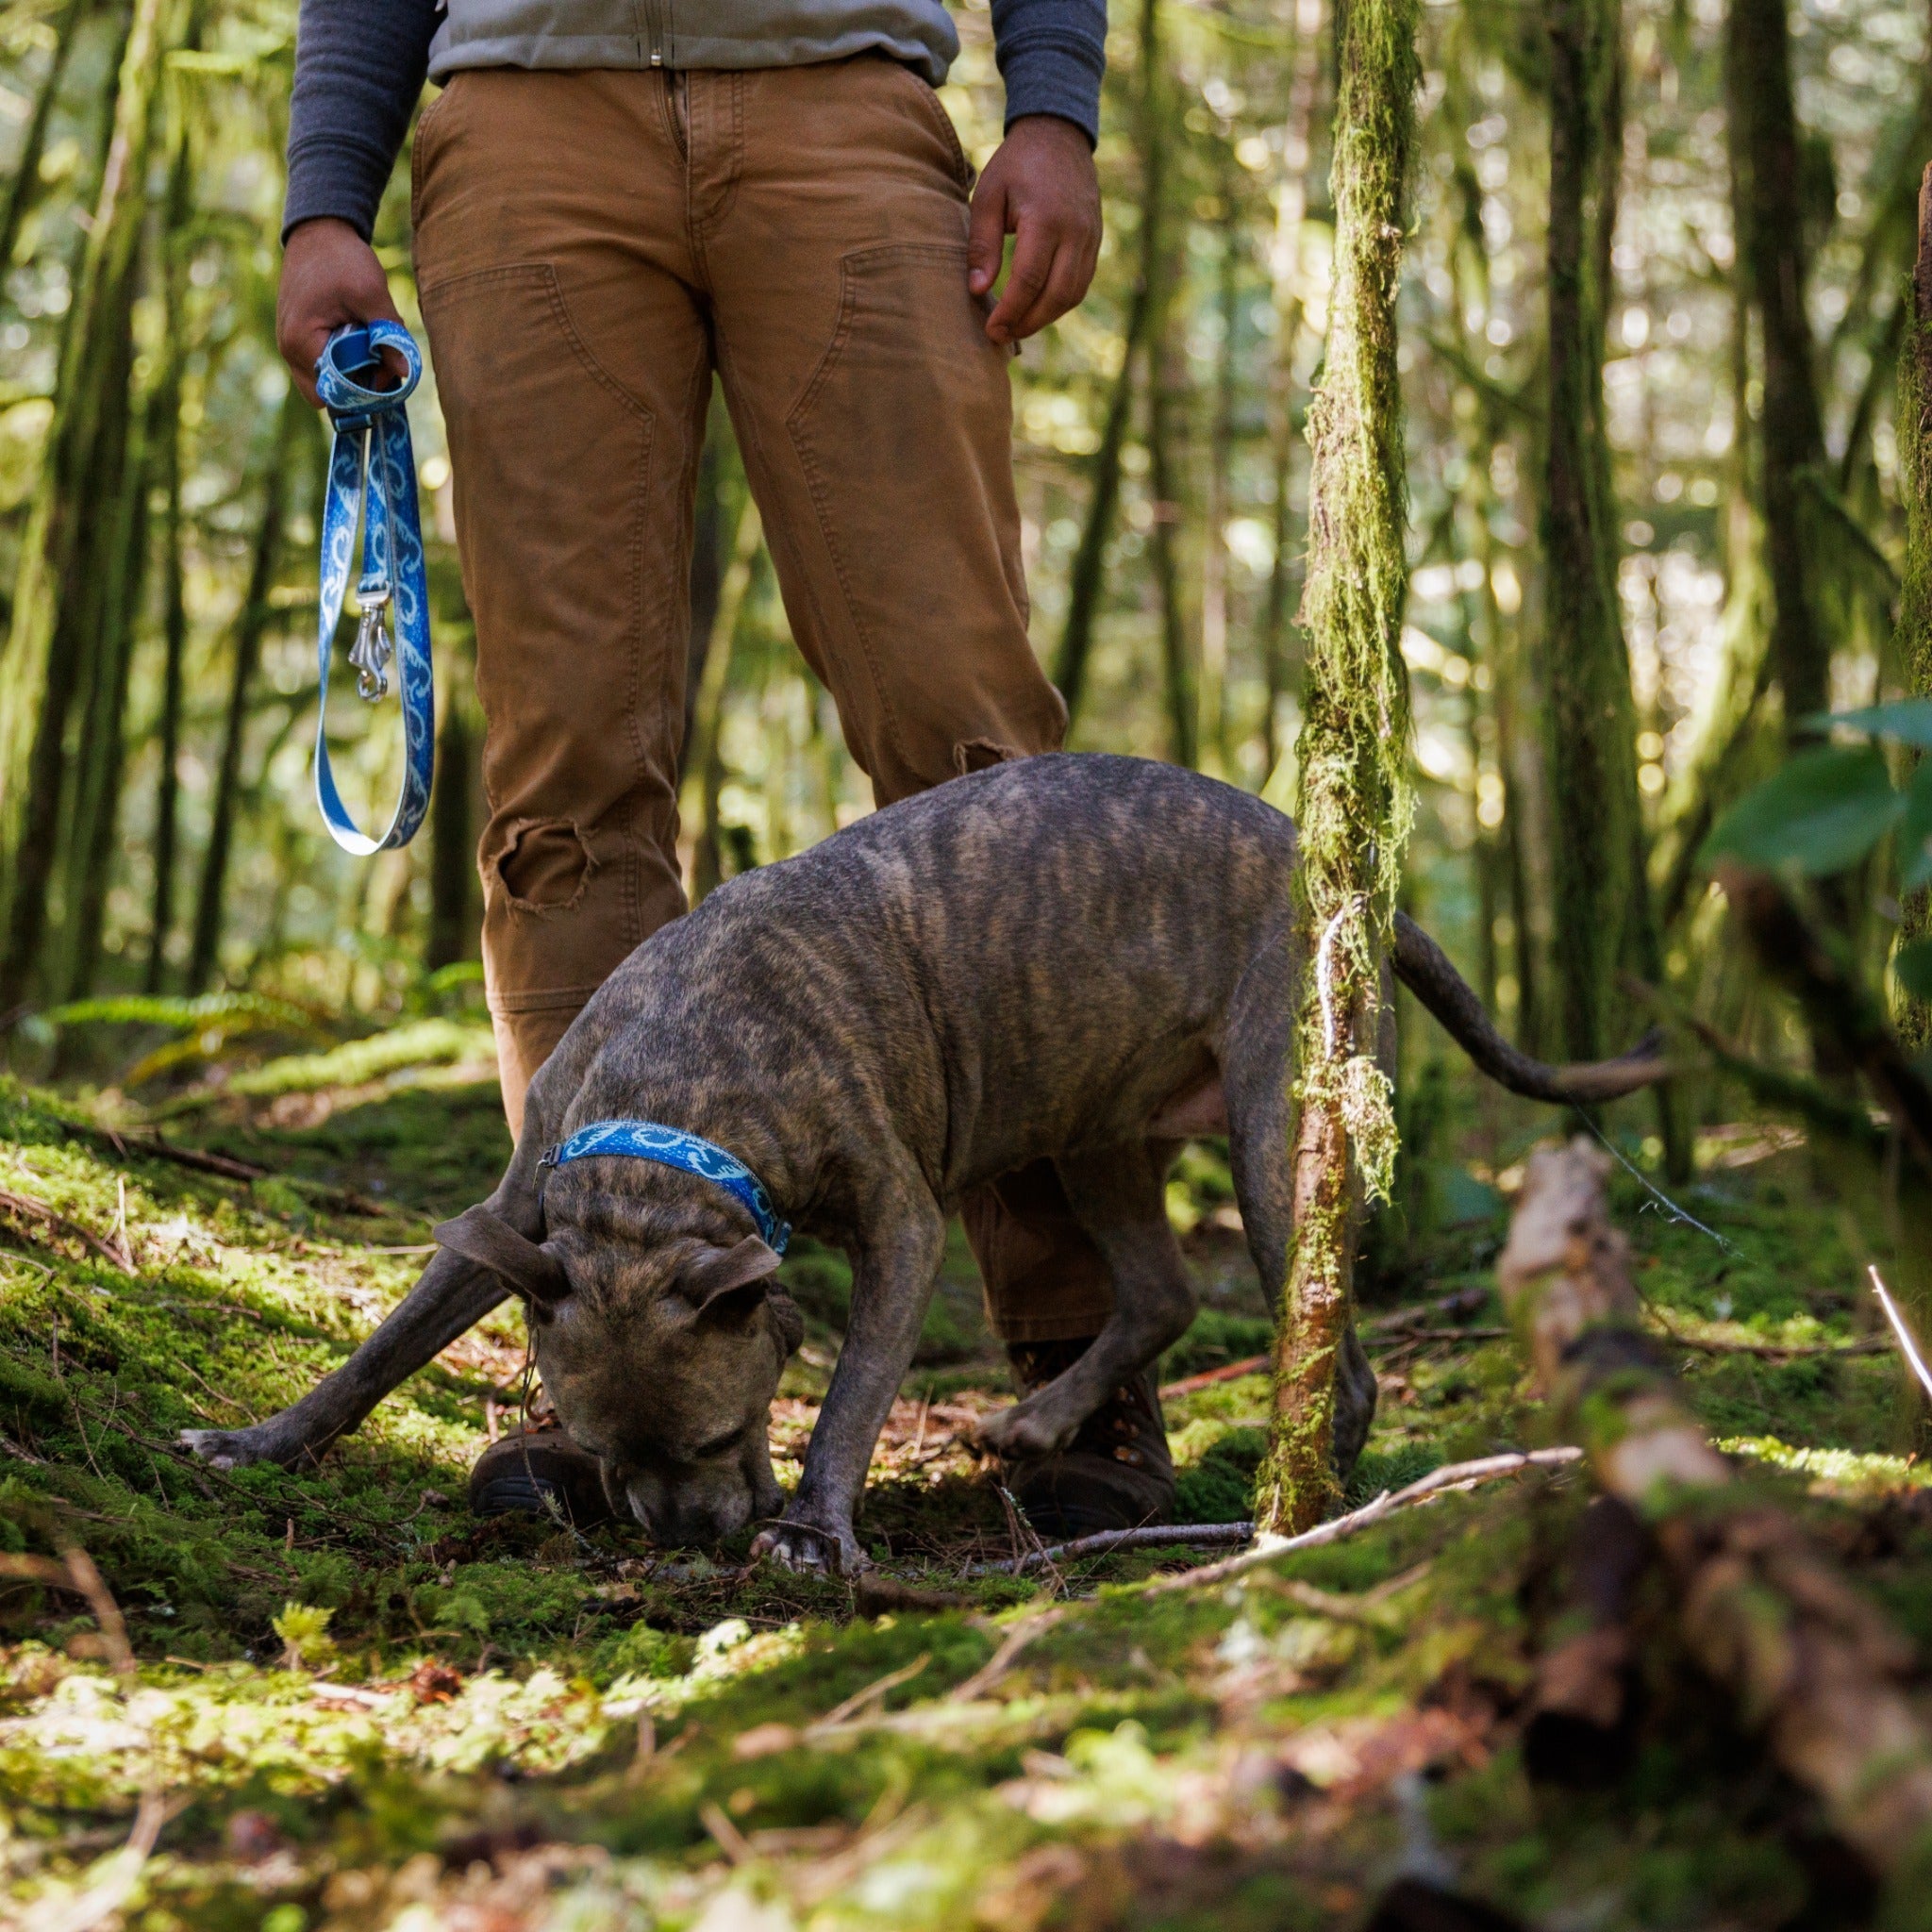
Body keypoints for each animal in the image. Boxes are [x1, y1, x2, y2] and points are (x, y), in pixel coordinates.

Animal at [184, 753, 1661, 1568]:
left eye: (717, 1435)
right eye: (598, 1453)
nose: (685, 1542)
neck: (675, 1104)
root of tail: (1349, 875)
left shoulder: (899, 1224)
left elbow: (849, 1397)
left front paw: (816, 1526)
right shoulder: (508, 1215)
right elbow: (380, 1349)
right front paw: (261, 1437)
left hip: (1268, 1143)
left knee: (1329, 1351)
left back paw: (1304, 1494)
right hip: (1088, 1120)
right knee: (1158, 1291)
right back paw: (1043, 1421)